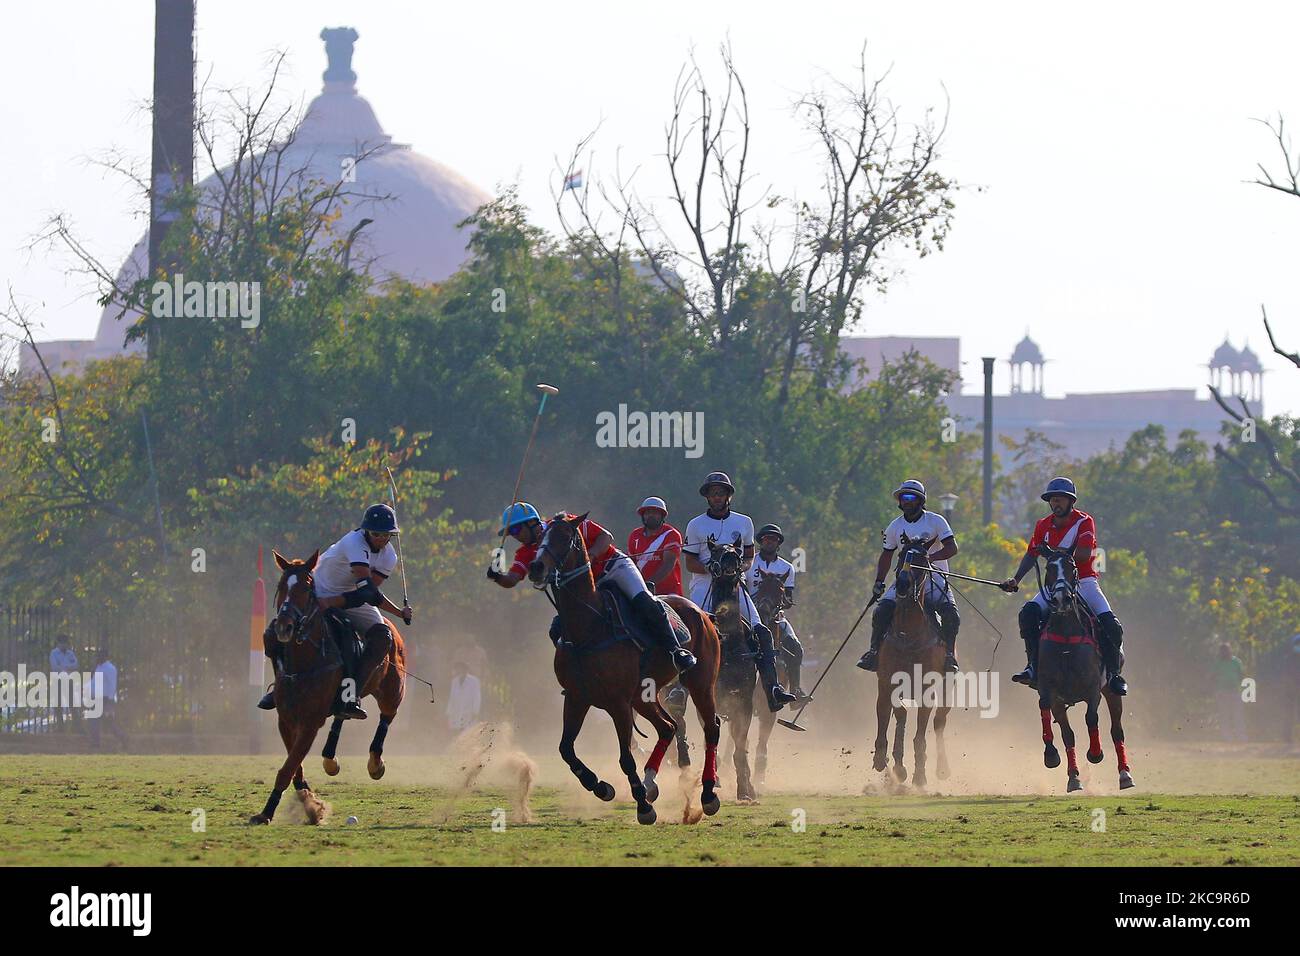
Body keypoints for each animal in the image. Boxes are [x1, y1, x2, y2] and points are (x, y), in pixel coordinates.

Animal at [245, 548, 403, 827]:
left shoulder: (310, 721)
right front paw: (309, 802)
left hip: (393, 689)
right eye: (281, 586)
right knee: (342, 714)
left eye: (308, 589)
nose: (284, 626)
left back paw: (375, 763)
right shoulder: (286, 719)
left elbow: (287, 768)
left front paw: (269, 813)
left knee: (387, 715)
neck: (305, 660)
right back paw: (331, 757)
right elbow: (294, 766)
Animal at [530, 515, 733, 822]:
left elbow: (625, 758)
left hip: (700, 682)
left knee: (711, 727)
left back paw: (708, 794)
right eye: (540, 536)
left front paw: (643, 807)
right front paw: (600, 786)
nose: (536, 567)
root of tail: (703, 613)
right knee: (668, 727)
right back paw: (650, 782)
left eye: (565, 537)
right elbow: (566, 749)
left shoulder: (618, 703)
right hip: (644, 695)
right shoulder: (577, 697)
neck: (588, 628)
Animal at [873, 535, 956, 790]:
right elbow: (888, 715)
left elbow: (921, 734)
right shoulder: (887, 682)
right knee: (901, 715)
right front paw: (886, 761)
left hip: (946, 687)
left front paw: (920, 775)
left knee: (939, 721)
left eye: (922, 560)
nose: (901, 585)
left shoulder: (926, 688)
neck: (907, 633)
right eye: (902, 555)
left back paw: (942, 768)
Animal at [1029, 546, 1133, 790]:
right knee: (1068, 733)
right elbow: (1056, 721)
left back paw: (1125, 774)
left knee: (1117, 731)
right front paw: (1053, 757)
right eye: (1049, 568)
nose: (1061, 599)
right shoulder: (1050, 691)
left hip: (1111, 691)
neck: (1066, 636)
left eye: (1072, 567)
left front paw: (1095, 753)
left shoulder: (1093, 689)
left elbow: (1091, 718)